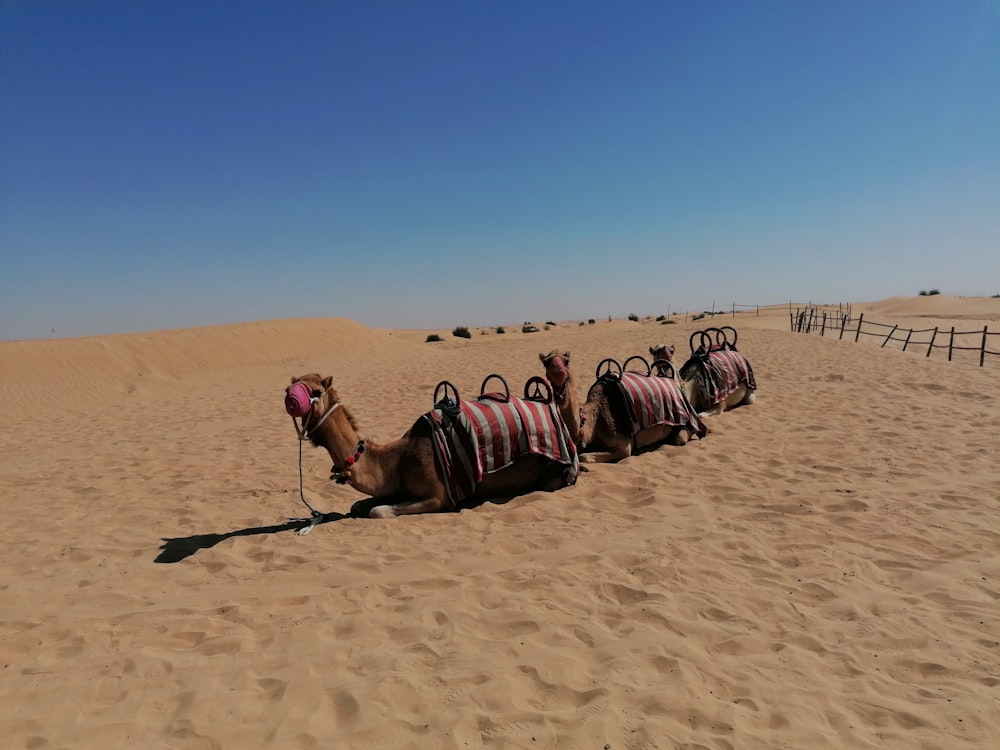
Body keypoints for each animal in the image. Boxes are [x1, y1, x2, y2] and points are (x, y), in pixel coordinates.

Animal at [282, 374, 580, 520]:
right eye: (290, 386)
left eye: (316, 392)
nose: (290, 398)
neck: (398, 459)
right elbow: (359, 506)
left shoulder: (439, 497)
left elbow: (378, 511)